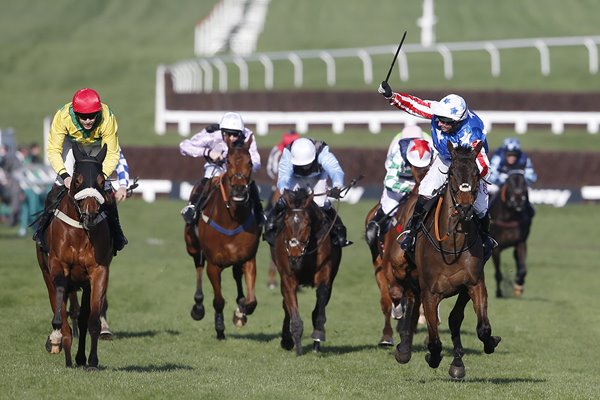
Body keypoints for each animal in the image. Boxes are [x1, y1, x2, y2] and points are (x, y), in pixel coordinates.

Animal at [35, 143, 113, 368]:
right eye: (77, 180)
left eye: (101, 181)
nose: (90, 214)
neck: (80, 231)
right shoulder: (58, 265)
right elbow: (61, 305)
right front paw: (57, 338)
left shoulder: (98, 271)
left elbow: (92, 319)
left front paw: (92, 361)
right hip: (45, 272)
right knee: (56, 301)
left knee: (83, 316)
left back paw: (79, 358)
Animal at [184, 136, 262, 340]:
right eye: (228, 161)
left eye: (250, 162)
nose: (239, 190)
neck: (232, 220)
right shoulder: (214, 264)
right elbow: (218, 300)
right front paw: (219, 328)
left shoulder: (248, 258)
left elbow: (251, 301)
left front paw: (241, 312)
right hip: (192, 246)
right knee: (198, 265)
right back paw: (198, 306)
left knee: (236, 276)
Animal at [268, 188, 340, 356]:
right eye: (286, 222)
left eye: (307, 223)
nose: (294, 254)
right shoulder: (288, 277)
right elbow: (293, 313)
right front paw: (297, 348)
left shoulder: (325, 274)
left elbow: (320, 305)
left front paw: (318, 335)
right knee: (285, 305)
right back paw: (287, 340)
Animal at [412, 142, 502, 380]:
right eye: (451, 172)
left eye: (476, 173)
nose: (464, 208)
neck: (452, 246)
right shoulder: (429, 293)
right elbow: (434, 339)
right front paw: (432, 357)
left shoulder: (474, 283)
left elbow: (483, 328)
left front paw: (491, 342)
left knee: (455, 318)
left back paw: (458, 363)